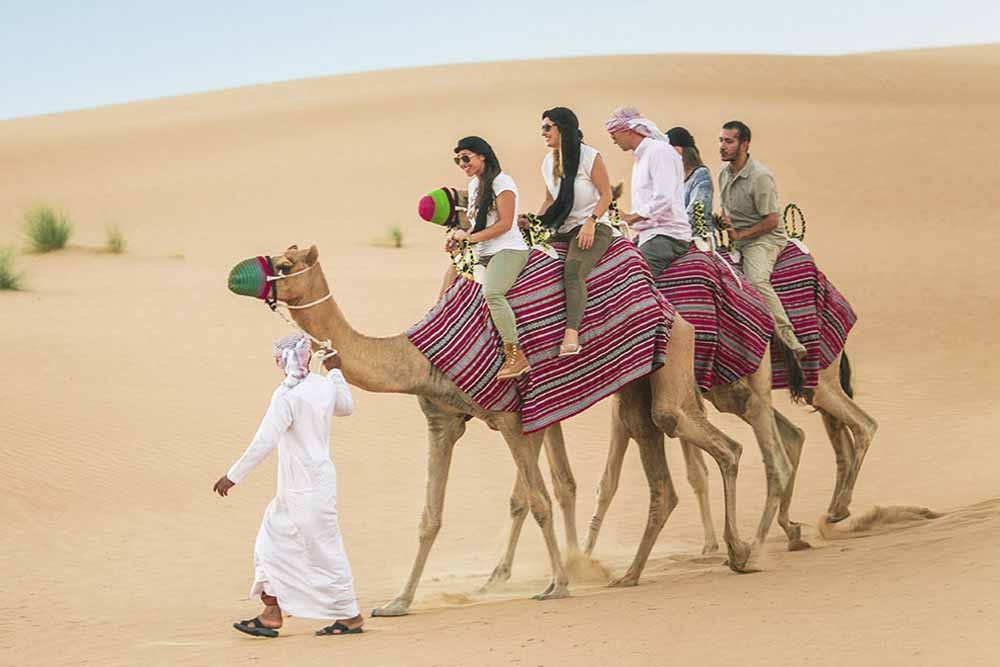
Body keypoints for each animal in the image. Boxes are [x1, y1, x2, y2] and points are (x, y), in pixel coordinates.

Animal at [228, 244, 758, 616]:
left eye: (285, 262)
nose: (240, 275)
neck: (416, 355)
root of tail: (665, 300)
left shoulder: (510, 418)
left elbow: (538, 500)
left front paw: (558, 585)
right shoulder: (442, 421)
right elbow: (430, 516)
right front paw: (397, 603)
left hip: (675, 357)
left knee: (714, 441)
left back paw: (739, 551)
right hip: (636, 385)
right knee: (662, 467)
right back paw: (632, 574)